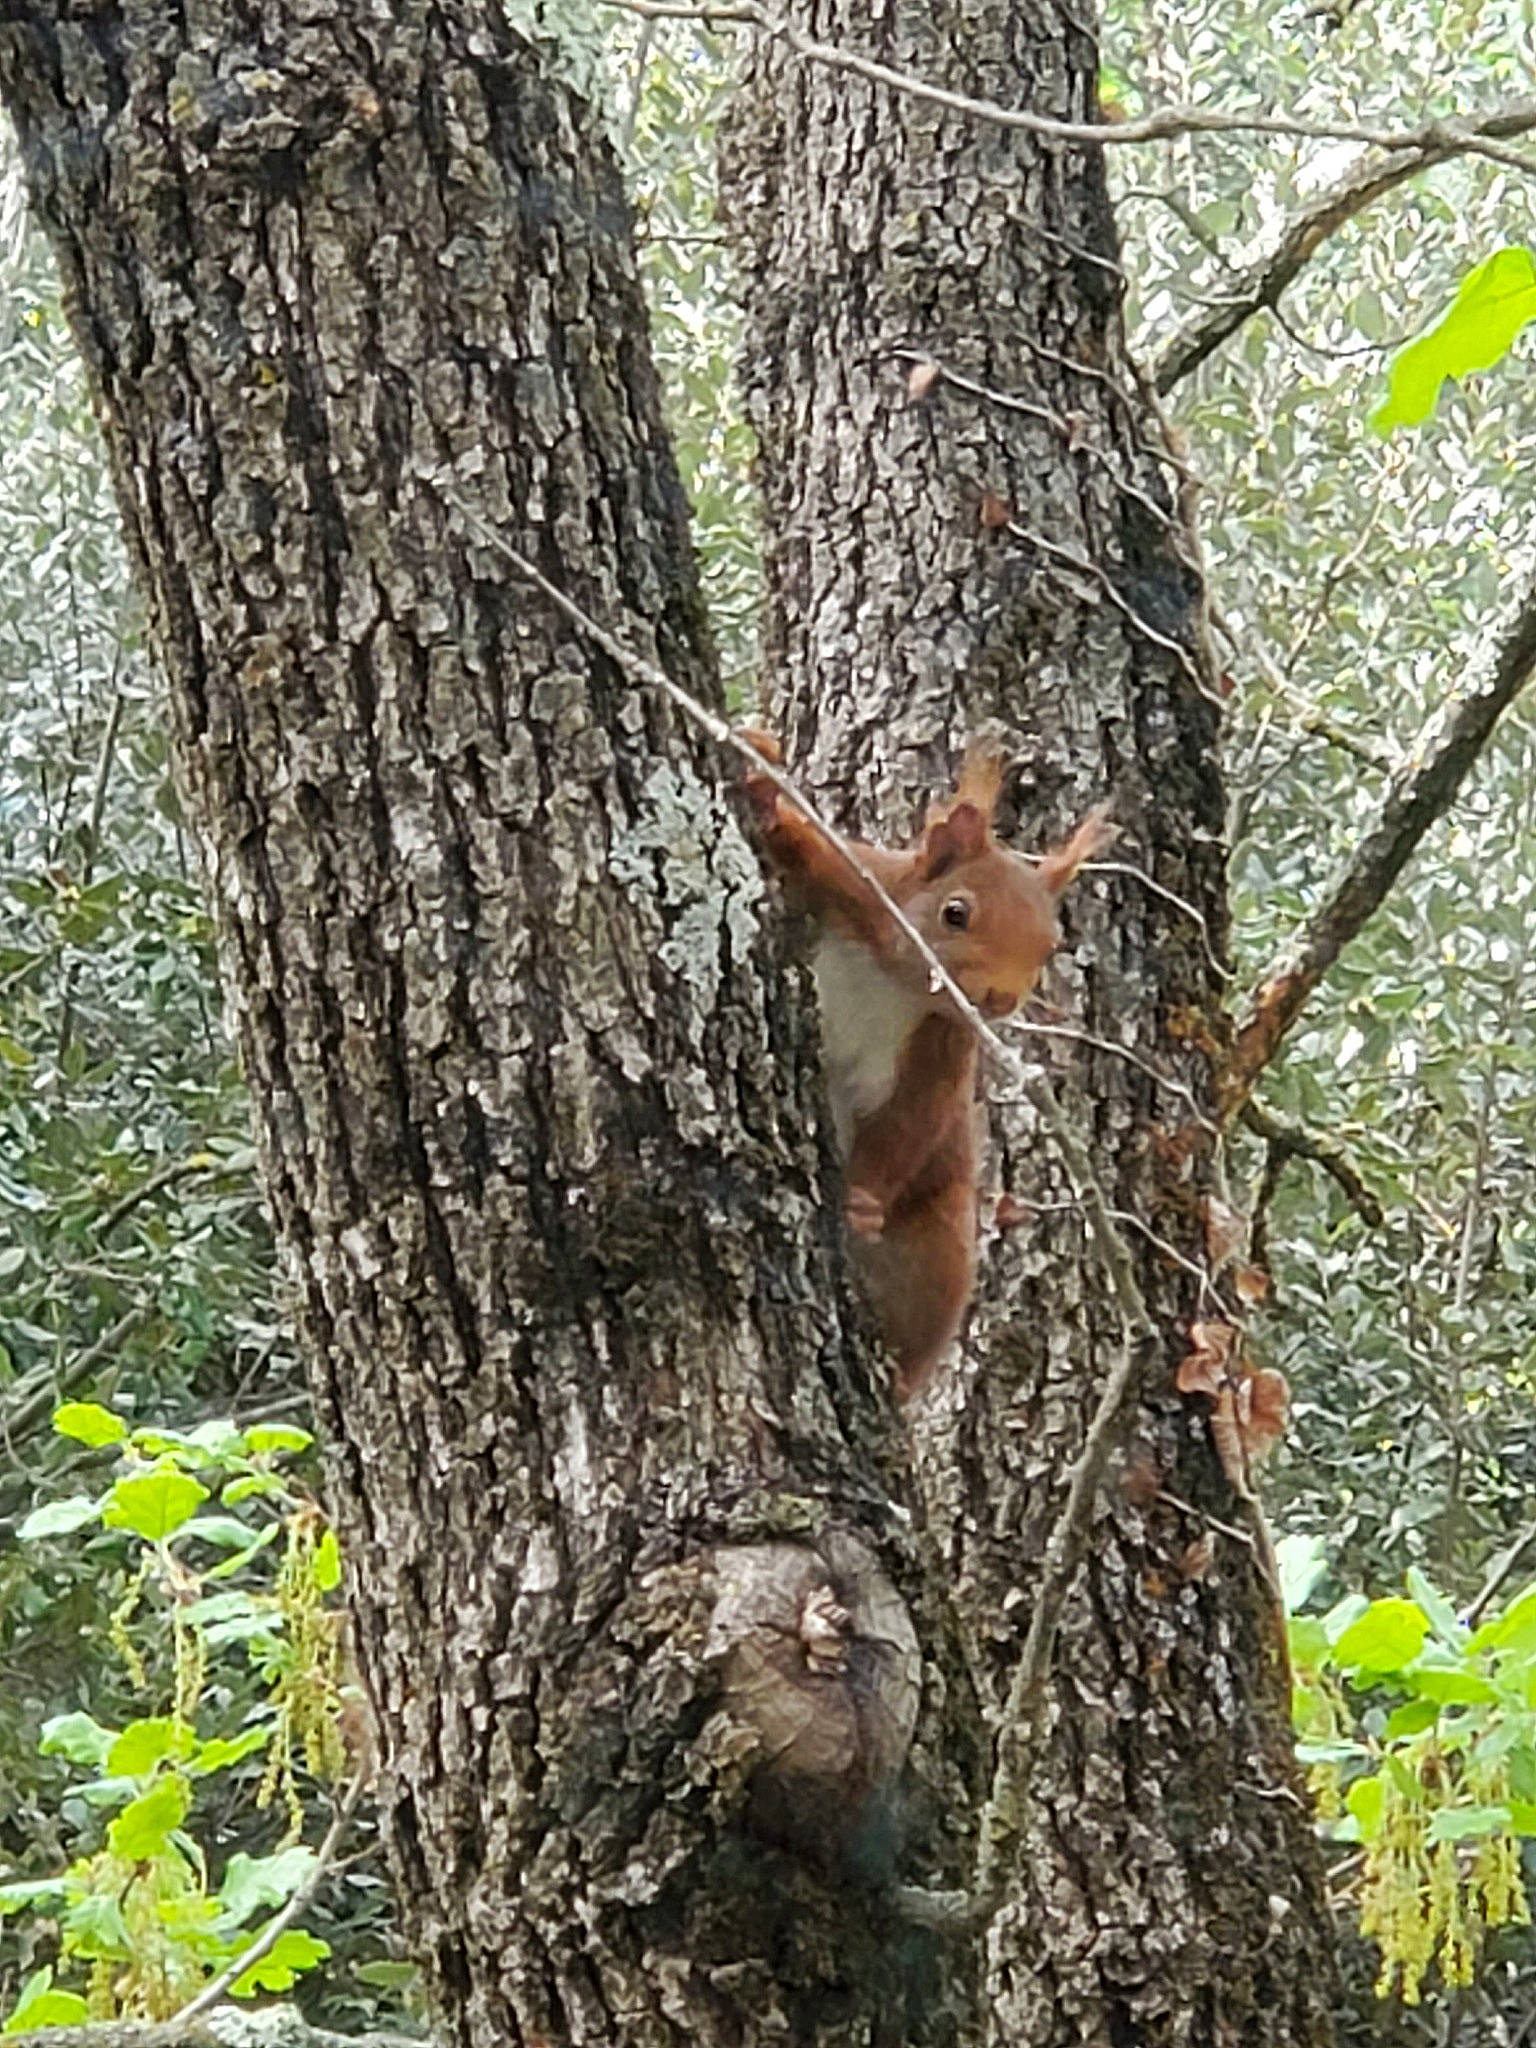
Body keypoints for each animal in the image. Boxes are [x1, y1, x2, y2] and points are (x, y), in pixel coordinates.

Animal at [743, 734, 1111, 1401]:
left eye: (1051, 946)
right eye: (955, 912)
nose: (999, 999)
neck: (899, 979)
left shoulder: (944, 1044)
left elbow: (911, 1119)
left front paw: (861, 1198)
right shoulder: (853, 884)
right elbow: (797, 841)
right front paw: (760, 777)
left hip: (939, 1252)